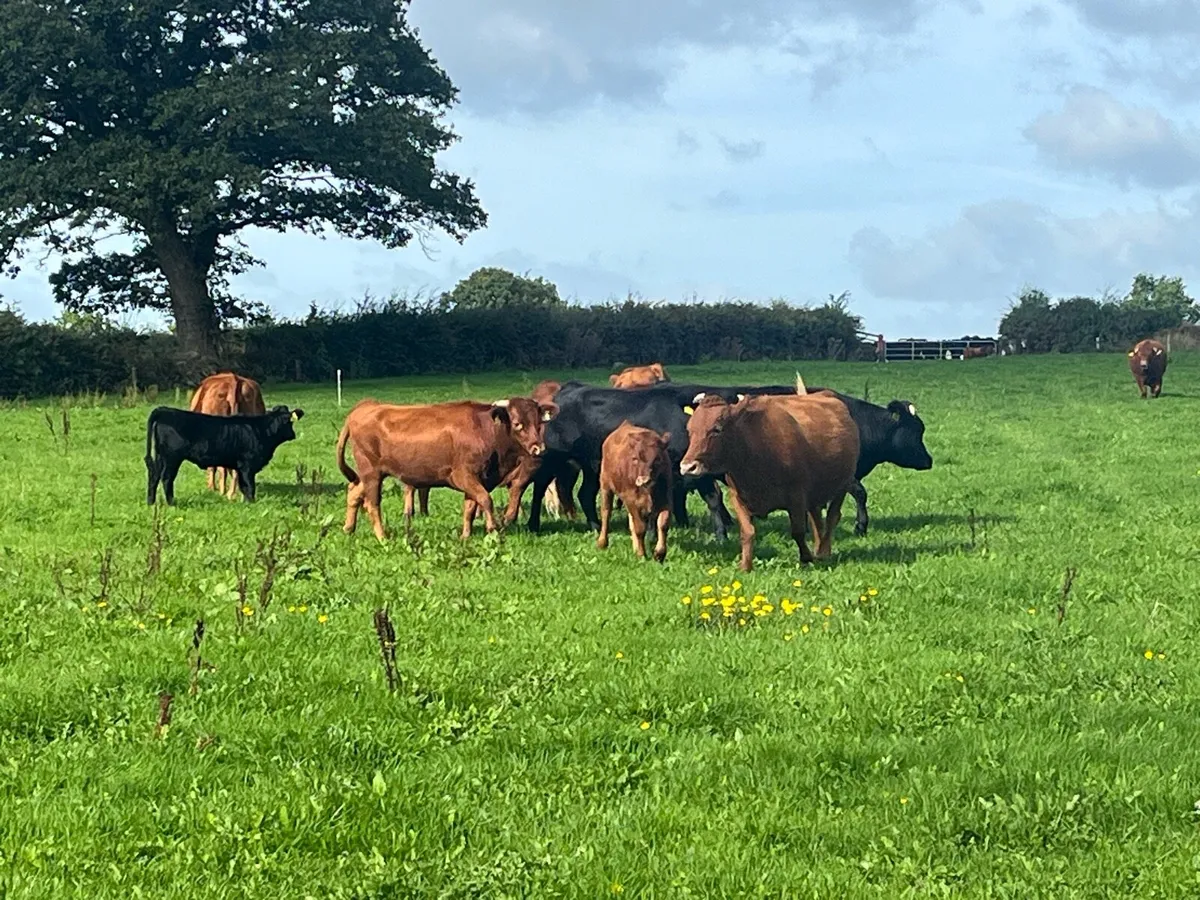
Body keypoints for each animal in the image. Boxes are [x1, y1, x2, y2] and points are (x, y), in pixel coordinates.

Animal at [145, 405, 303, 506]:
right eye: (288, 422)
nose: (293, 435)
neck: (261, 430)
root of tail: (165, 410)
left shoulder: (241, 467)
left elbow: (243, 486)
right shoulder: (247, 465)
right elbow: (249, 485)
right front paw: (252, 503)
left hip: (160, 457)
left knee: (154, 476)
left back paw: (151, 502)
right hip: (172, 458)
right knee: (167, 478)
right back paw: (171, 503)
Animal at [335, 396, 557, 541]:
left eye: (539, 423)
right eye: (518, 424)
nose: (538, 448)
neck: (486, 430)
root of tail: (363, 408)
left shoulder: (478, 478)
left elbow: (470, 507)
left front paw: (466, 535)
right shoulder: (463, 475)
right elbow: (485, 499)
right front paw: (492, 528)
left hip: (370, 474)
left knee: (354, 493)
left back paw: (348, 528)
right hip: (371, 471)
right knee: (373, 503)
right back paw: (382, 537)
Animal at [597, 422, 673, 562]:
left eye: (658, 459)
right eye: (635, 458)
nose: (644, 480)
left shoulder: (667, 500)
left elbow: (663, 524)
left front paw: (659, 553)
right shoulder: (631, 500)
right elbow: (639, 528)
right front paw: (642, 555)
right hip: (605, 484)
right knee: (606, 512)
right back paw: (602, 542)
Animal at [680, 392, 859, 571]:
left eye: (717, 429)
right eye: (690, 429)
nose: (688, 467)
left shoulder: (797, 496)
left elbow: (798, 531)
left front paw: (806, 559)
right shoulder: (737, 496)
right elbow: (747, 532)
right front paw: (745, 565)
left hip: (843, 485)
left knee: (832, 516)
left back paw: (823, 552)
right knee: (817, 518)